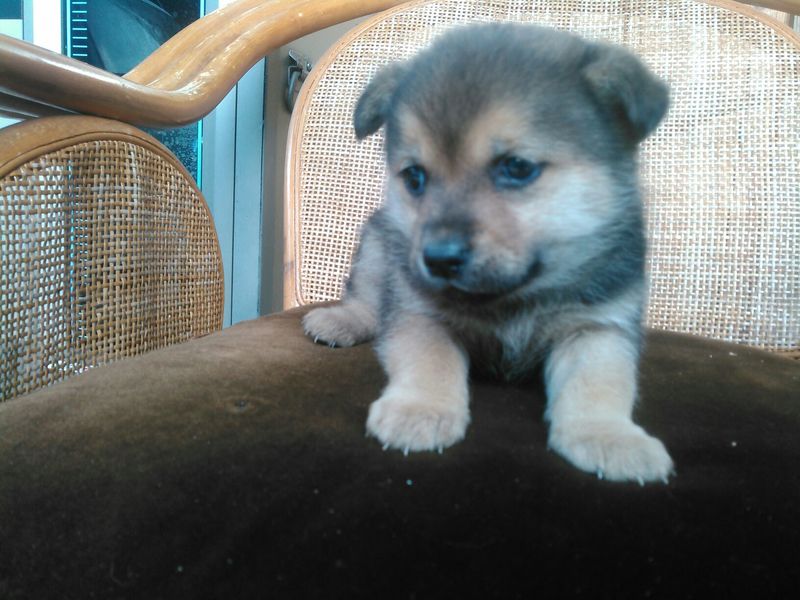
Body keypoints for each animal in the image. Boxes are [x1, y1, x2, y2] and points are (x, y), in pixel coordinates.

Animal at [303, 23, 673, 484]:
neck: (513, 296)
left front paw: (610, 435)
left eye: (517, 167)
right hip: (377, 245)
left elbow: (600, 382)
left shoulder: (597, 328)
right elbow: (430, 359)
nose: (438, 258)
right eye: (414, 177)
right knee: (367, 299)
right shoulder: (419, 313)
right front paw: (420, 409)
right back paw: (342, 320)